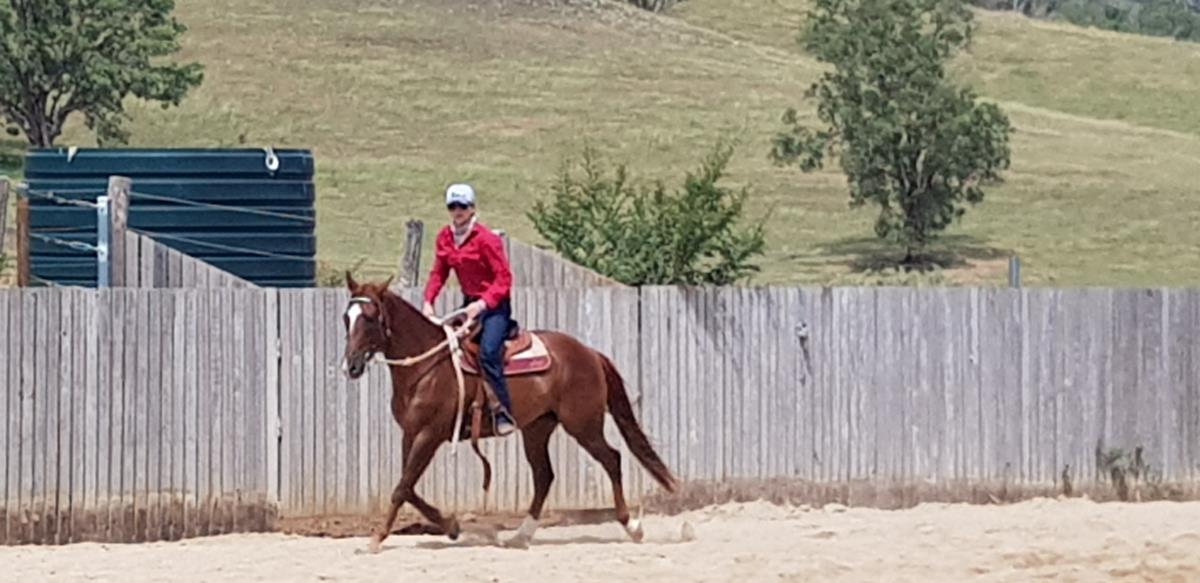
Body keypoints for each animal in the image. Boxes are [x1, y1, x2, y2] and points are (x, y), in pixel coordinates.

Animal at [339, 273, 677, 551]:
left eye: (370, 317)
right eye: (347, 318)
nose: (350, 366)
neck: (427, 367)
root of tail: (590, 353)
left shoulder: (429, 435)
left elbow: (401, 488)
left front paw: (377, 538)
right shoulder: (411, 434)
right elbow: (407, 486)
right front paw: (451, 526)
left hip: (583, 425)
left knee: (612, 459)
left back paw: (632, 527)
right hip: (538, 428)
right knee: (544, 476)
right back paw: (521, 536)